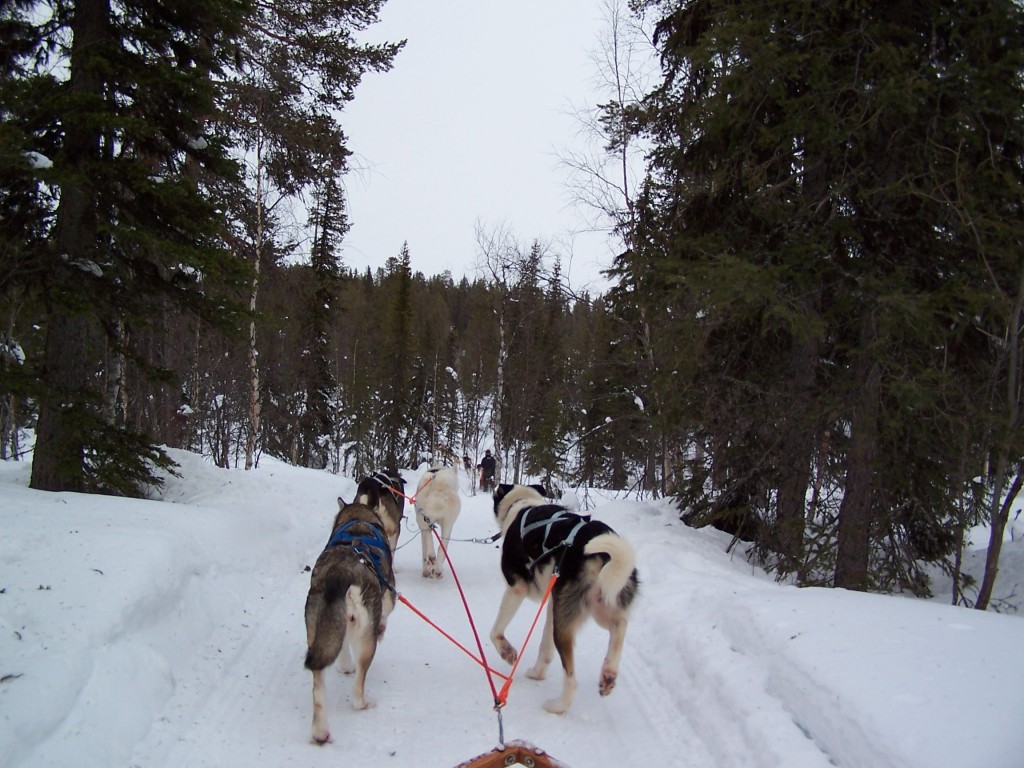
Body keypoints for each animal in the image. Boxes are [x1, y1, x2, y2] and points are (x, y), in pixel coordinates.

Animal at [301, 495, 393, 741]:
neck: (357, 522)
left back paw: (320, 732)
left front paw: (344, 666)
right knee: (358, 689)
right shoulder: (389, 597)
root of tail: (340, 573)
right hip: (366, 641)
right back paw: (365, 703)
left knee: (318, 687)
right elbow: (387, 612)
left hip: (318, 633)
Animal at [489, 487, 638, 716]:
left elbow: (495, 632)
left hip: (567, 622)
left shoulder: (516, 588)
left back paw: (557, 706)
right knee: (620, 625)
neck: (523, 505)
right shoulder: (553, 603)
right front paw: (538, 672)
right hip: (592, 606)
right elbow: (545, 646)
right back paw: (608, 673)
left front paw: (507, 652)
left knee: (572, 679)